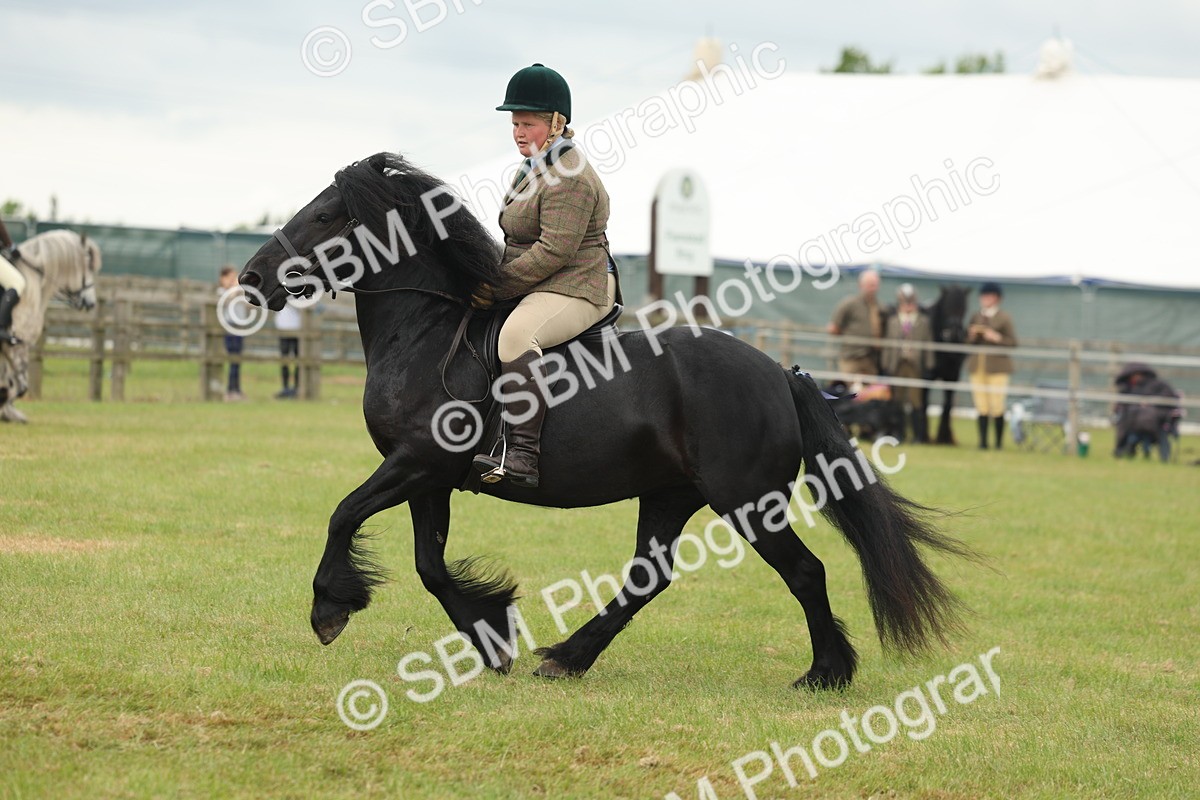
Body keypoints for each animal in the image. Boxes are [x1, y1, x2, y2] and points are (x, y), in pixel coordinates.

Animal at [0, 230, 102, 423]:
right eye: (89, 267)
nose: (91, 303)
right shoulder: (19, 344)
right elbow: (19, 386)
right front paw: (7, 410)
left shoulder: (8, 348)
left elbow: (11, 382)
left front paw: (9, 412)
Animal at [924, 285, 971, 445]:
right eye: (946, 307)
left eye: (964, 308)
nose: (954, 333)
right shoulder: (926, 377)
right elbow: (924, 402)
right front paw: (925, 436)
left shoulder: (952, 376)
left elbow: (948, 404)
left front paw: (944, 437)